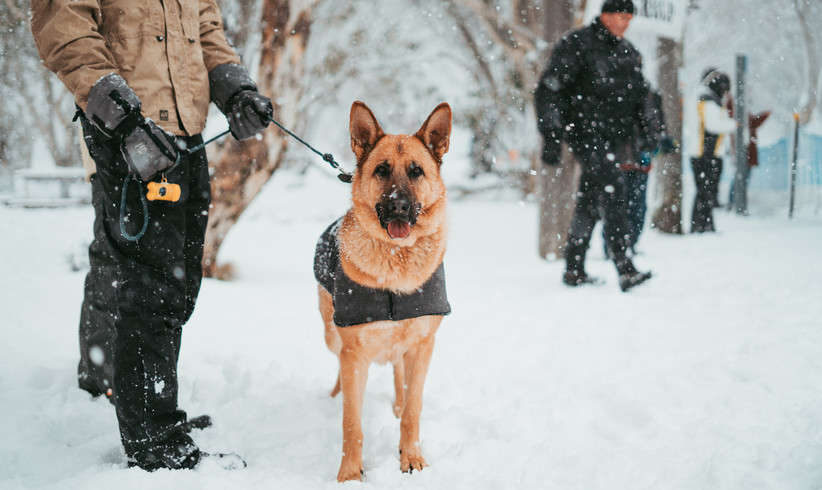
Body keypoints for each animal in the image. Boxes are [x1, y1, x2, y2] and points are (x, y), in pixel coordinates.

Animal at [318, 101, 458, 480]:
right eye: (381, 170)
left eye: (416, 171)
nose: (398, 206)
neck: (397, 259)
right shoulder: (354, 354)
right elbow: (352, 423)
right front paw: (350, 475)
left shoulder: (423, 345)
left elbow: (413, 409)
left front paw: (410, 457)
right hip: (331, 335)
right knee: (338, 368)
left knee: (398, 371)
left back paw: (396, 403)